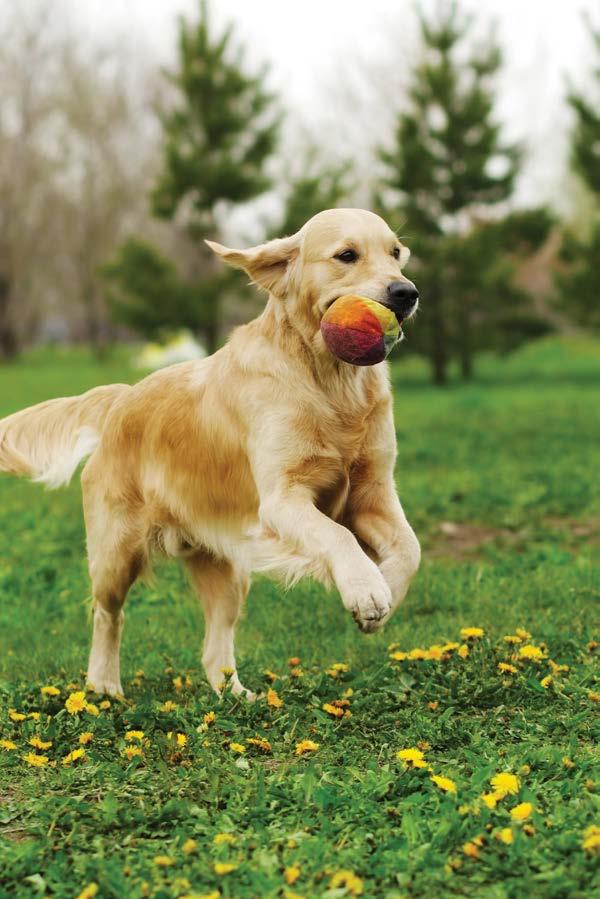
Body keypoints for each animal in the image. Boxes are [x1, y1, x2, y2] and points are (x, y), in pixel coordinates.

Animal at [0, 209, 422, 696]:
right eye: (347, 255)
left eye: (396, 253)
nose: (406, 292)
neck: (329, 380)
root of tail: (121, 398)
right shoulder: (282, 500)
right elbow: (338, 535)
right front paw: (365, 589)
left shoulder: (372, 491)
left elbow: (410, 548)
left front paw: (382, 594)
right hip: (115, 553)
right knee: (107, 614)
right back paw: (104, 687)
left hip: (227, 567)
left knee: (214, 648)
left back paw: (239, 697)